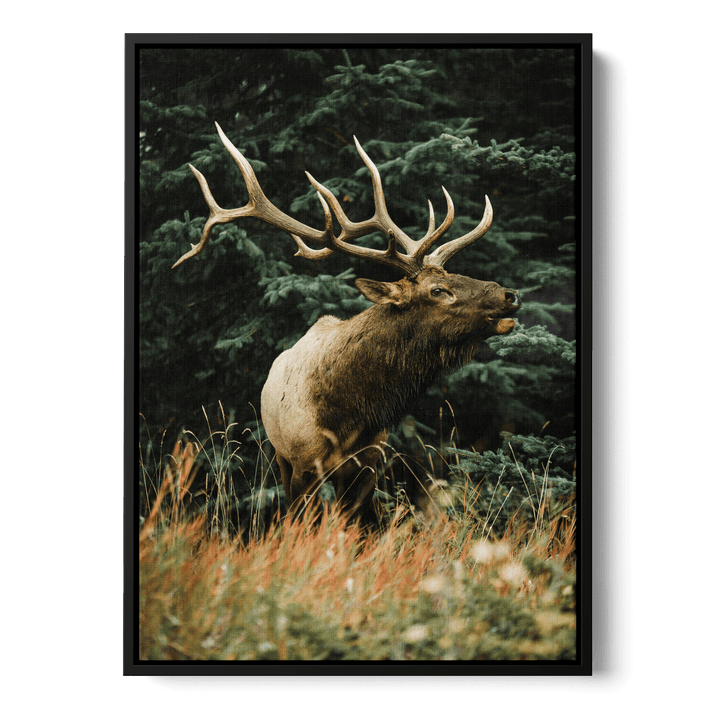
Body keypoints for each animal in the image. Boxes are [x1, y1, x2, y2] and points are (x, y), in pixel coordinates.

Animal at [173, 123, 521, 524]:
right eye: (438, 290)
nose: (510, 294)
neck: (349, 414)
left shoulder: (369, 464)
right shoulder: (303, 462)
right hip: (279, 455)